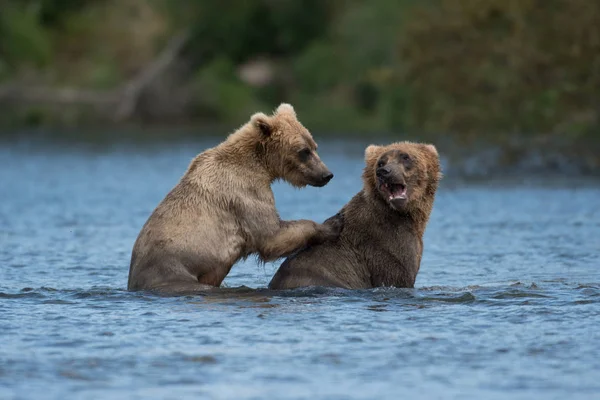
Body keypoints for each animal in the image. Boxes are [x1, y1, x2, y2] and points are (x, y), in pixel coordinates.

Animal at [128, 103, 340, 292]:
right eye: (304, 151)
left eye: (314, 146)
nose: (326, 174)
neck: (260, 166)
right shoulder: (244, 192)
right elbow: (271, 234)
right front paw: (329, 227)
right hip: (172, 271)